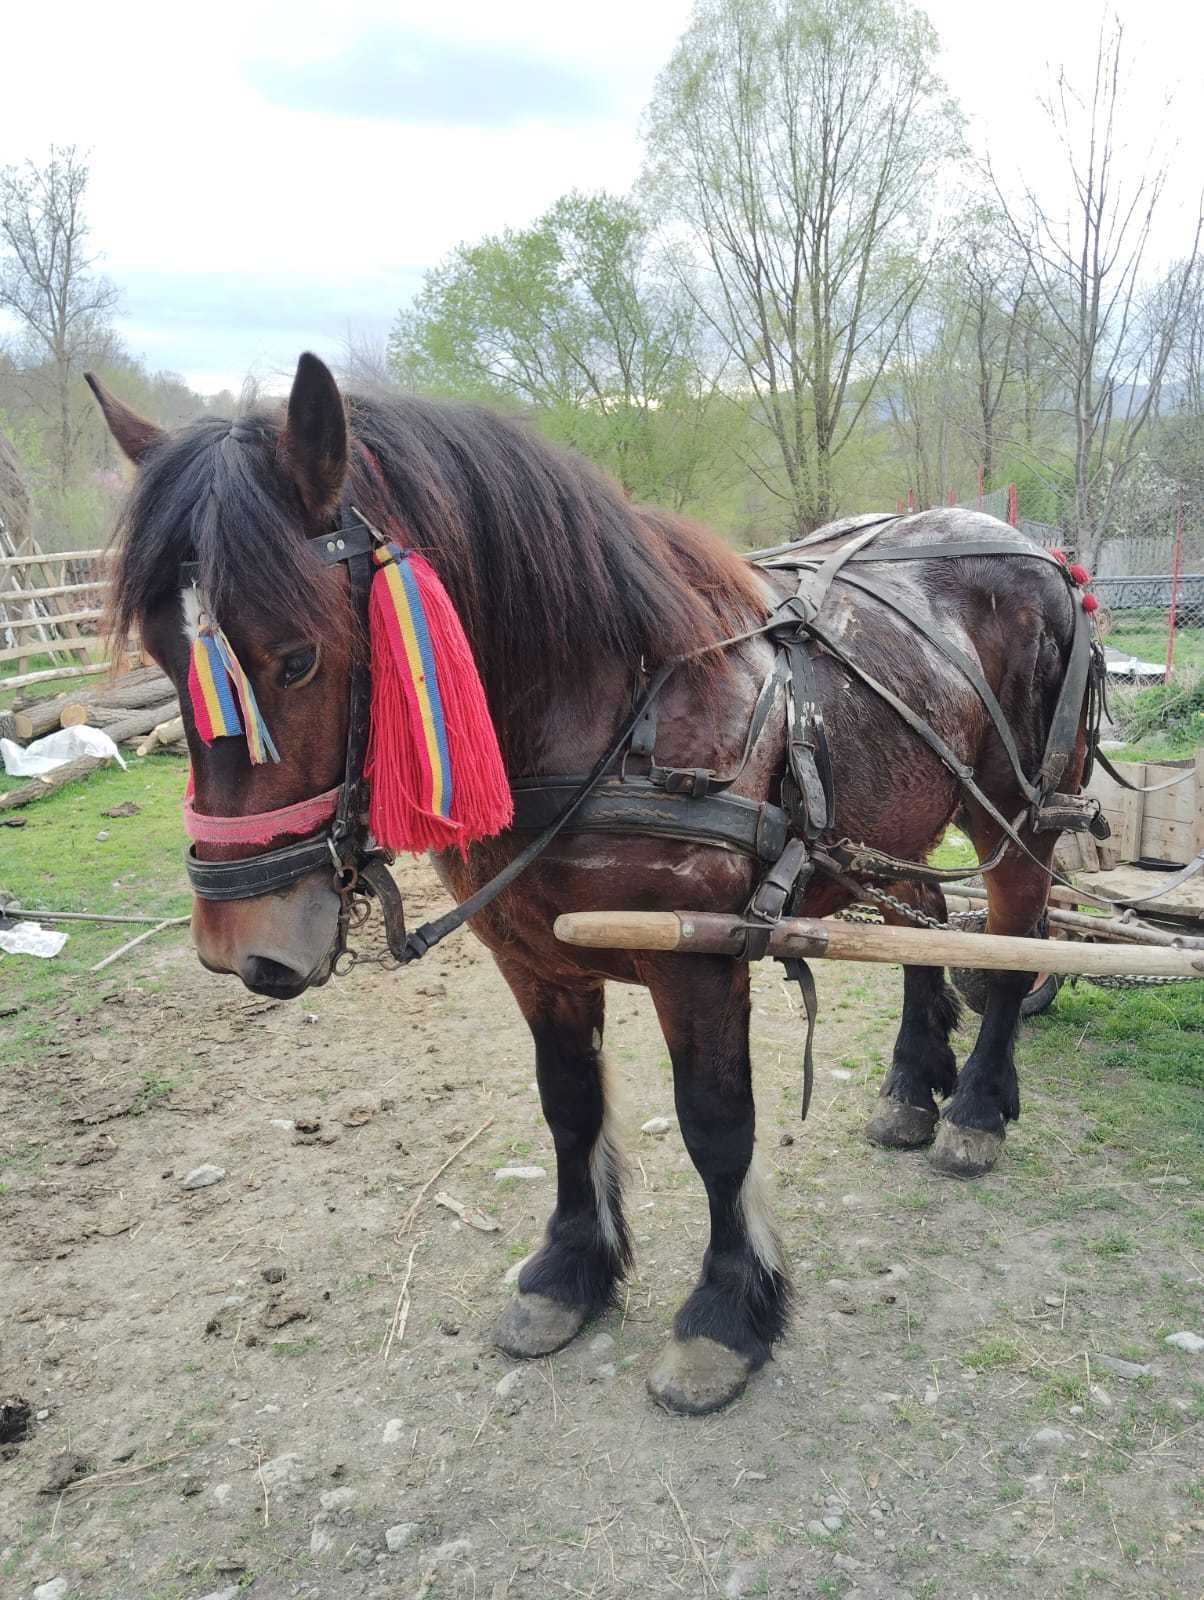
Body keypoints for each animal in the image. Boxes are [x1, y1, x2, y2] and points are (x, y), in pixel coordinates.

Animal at [94, 360, 1088, 1414]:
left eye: (297, 657)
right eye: (160, 652)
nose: (242, 946)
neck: (614, 707)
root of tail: (1039, 554)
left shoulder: (700, 962)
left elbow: (717, 1129)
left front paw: (726, 1314)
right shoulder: (534, 956)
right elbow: (568, 1107)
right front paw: (571, 1271)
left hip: (1017, 812)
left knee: (1015, 943)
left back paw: (976, 1107)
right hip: (883, 832)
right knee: (932, 920)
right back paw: (911, 1083)